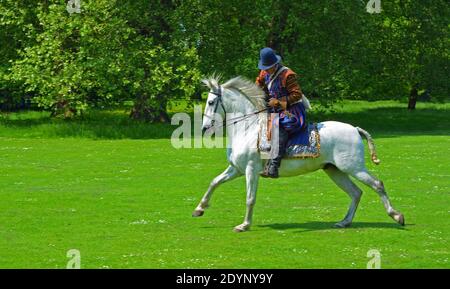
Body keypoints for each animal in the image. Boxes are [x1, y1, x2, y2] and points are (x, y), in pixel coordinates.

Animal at [192, 76, 404, 232]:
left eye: (211, 102)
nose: (204, 128)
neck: (248, 128)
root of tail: (354, 129)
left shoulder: (250, 170)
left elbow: (250, 198)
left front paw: (244, 225)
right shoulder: (236, 169)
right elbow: (214, 182)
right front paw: (199, 209)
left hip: (353, 167)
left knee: (377, 185)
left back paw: (396, 215)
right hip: (335, 170)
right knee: (356, 192)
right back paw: (344, 222)